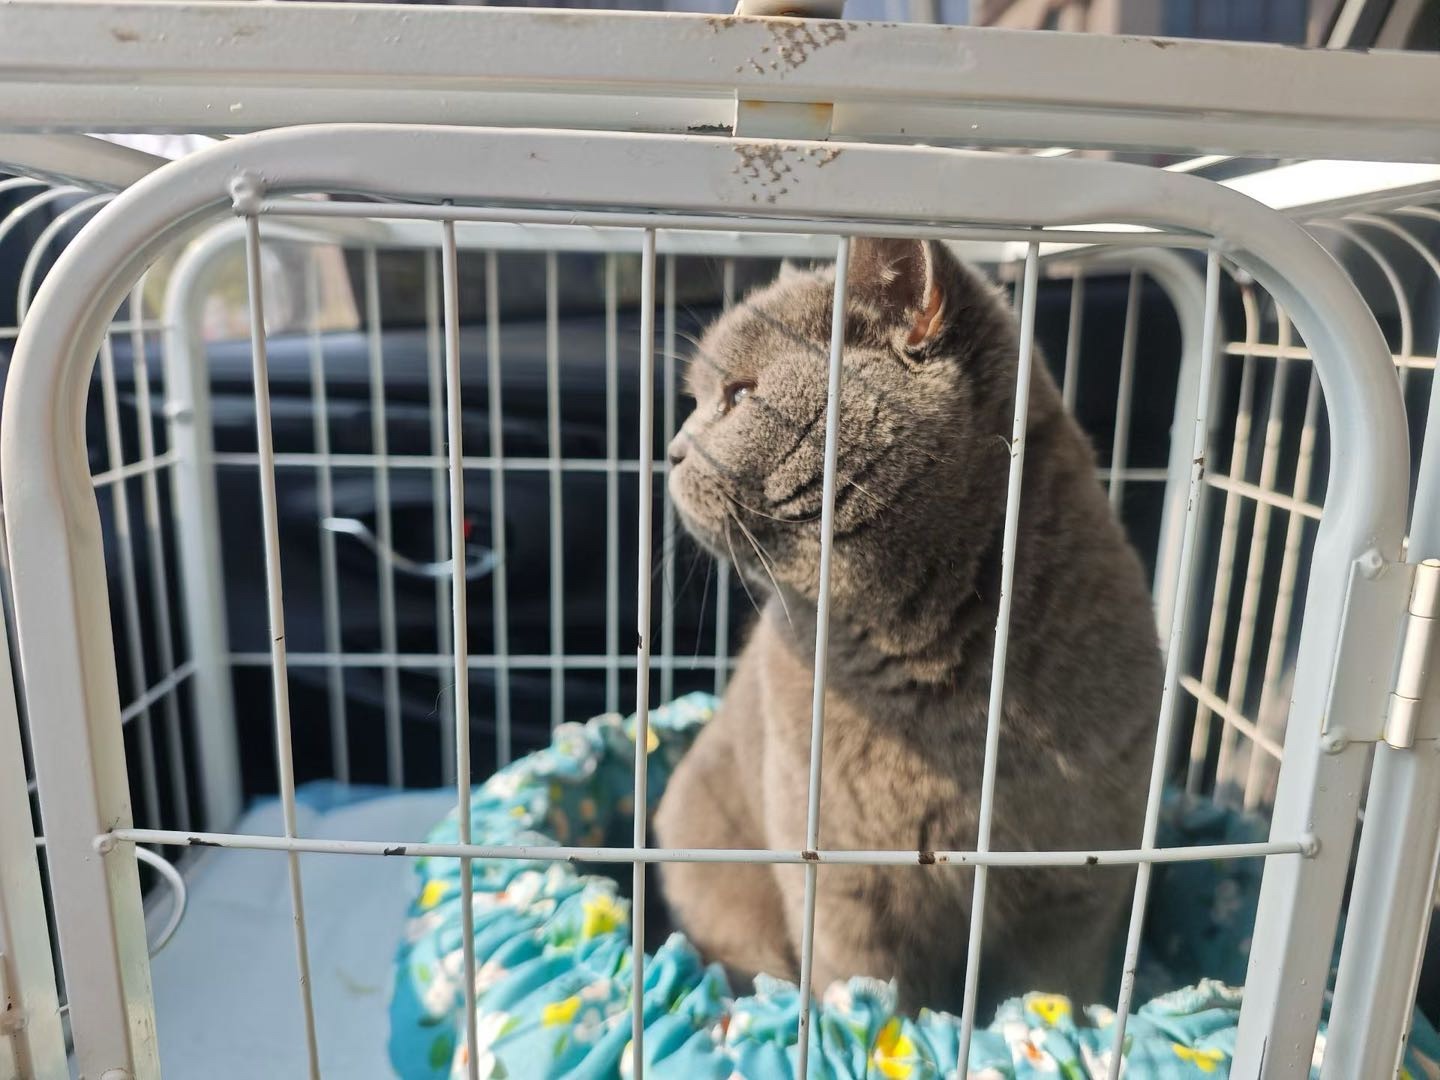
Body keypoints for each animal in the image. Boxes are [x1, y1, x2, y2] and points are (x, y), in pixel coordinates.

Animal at [652, 237, 1164, 1017]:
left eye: (739, 395)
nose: (673, 451)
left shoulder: (1079, 887)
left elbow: (1050, 991)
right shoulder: (846, 886)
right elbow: (871, 989)